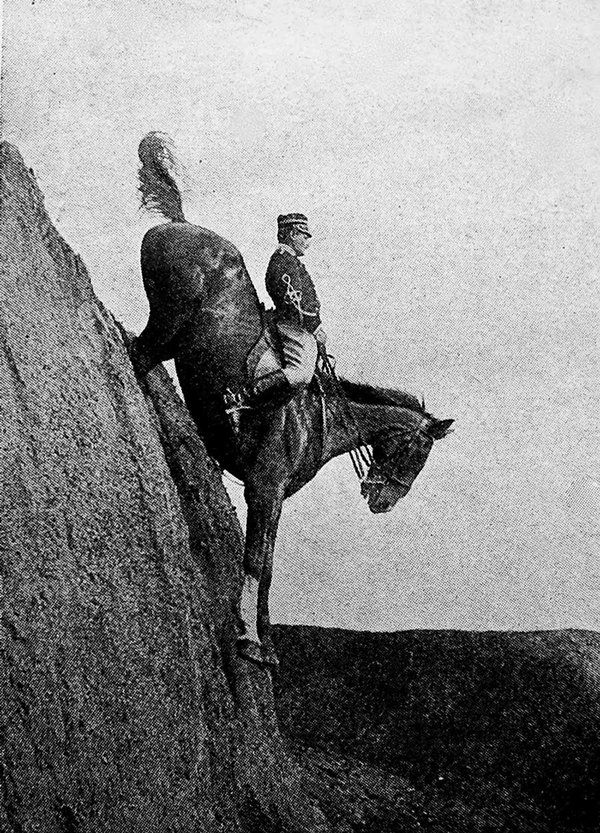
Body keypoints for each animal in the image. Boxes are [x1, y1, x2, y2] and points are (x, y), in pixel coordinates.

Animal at [130, 133, 450, 668]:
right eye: (419, 452)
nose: (384, 501)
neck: (318, 417)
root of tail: (180, 223)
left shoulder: (276, 497)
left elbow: (270, 567)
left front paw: (266, 643)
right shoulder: (264, 487)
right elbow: (256, 560)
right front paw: (246, 638)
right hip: (168, 321)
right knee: (136, 352)